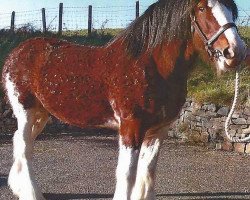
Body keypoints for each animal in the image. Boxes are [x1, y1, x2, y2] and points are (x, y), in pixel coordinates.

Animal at [0, 0, 246, 200]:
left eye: (232, 8)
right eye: (202, 8)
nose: (236, 51)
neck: (150, 66)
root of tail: (16, 53)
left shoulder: (159, 130)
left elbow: (148, 173)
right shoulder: (131, 127)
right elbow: (127, 174)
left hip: (41, 115)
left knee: (21, 143)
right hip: (26, 111)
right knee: (24, 147)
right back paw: (32, 193)